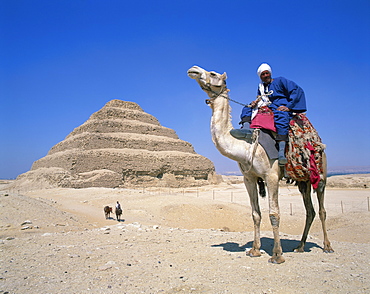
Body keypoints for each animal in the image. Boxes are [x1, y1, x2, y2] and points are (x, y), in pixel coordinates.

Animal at [186, 66, 334, 264]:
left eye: (213, 74)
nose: (193, 70)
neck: (246, 145)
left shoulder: (271, 176)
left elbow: (274, 214)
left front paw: (277, 255)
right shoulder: (248, 178)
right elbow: (255, 214)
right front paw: (254, 250)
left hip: (321, 173)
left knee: (322, 209)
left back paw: (327, 246)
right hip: (304, 180)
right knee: (309, 210)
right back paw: (300, 246)